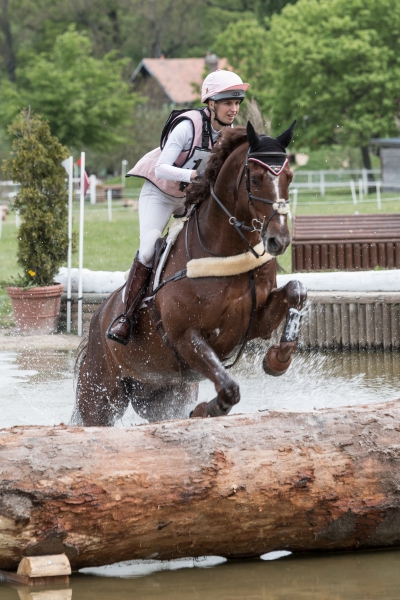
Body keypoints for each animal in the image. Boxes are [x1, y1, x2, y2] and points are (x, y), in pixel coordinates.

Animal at [72, 119, 306, 424]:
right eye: (255, 179)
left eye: (288, 176)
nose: (280, 240)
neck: (223, 249)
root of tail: (97, 320)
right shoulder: (186, 338)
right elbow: (229, 389)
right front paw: (207, 410)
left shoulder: (256, 323)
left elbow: (296, 290)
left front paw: (277, 360)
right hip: (100, 397)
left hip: (159, 395)